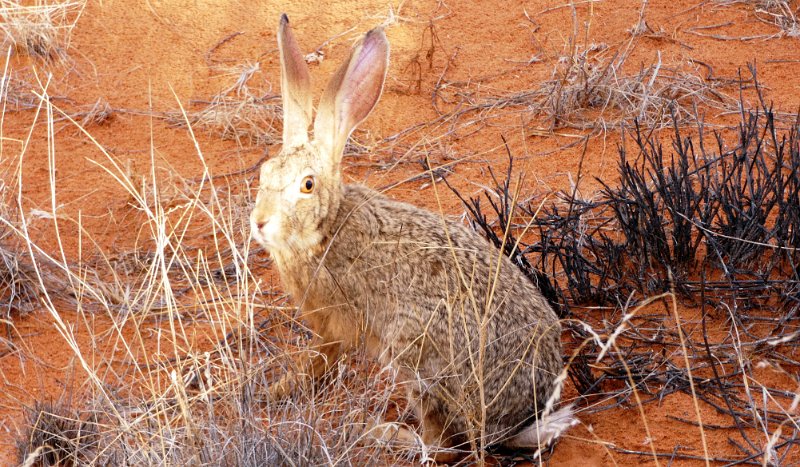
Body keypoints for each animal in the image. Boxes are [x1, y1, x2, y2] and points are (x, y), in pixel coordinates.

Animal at [250, 14, 575, 462]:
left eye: (308, 185)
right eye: (264, 172)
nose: (260, 222)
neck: (325, 228)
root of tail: (515, 422)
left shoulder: (332, 322)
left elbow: (322, 358)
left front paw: (279, 389)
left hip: (415, 353)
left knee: (445, 448)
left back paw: (386, 435)